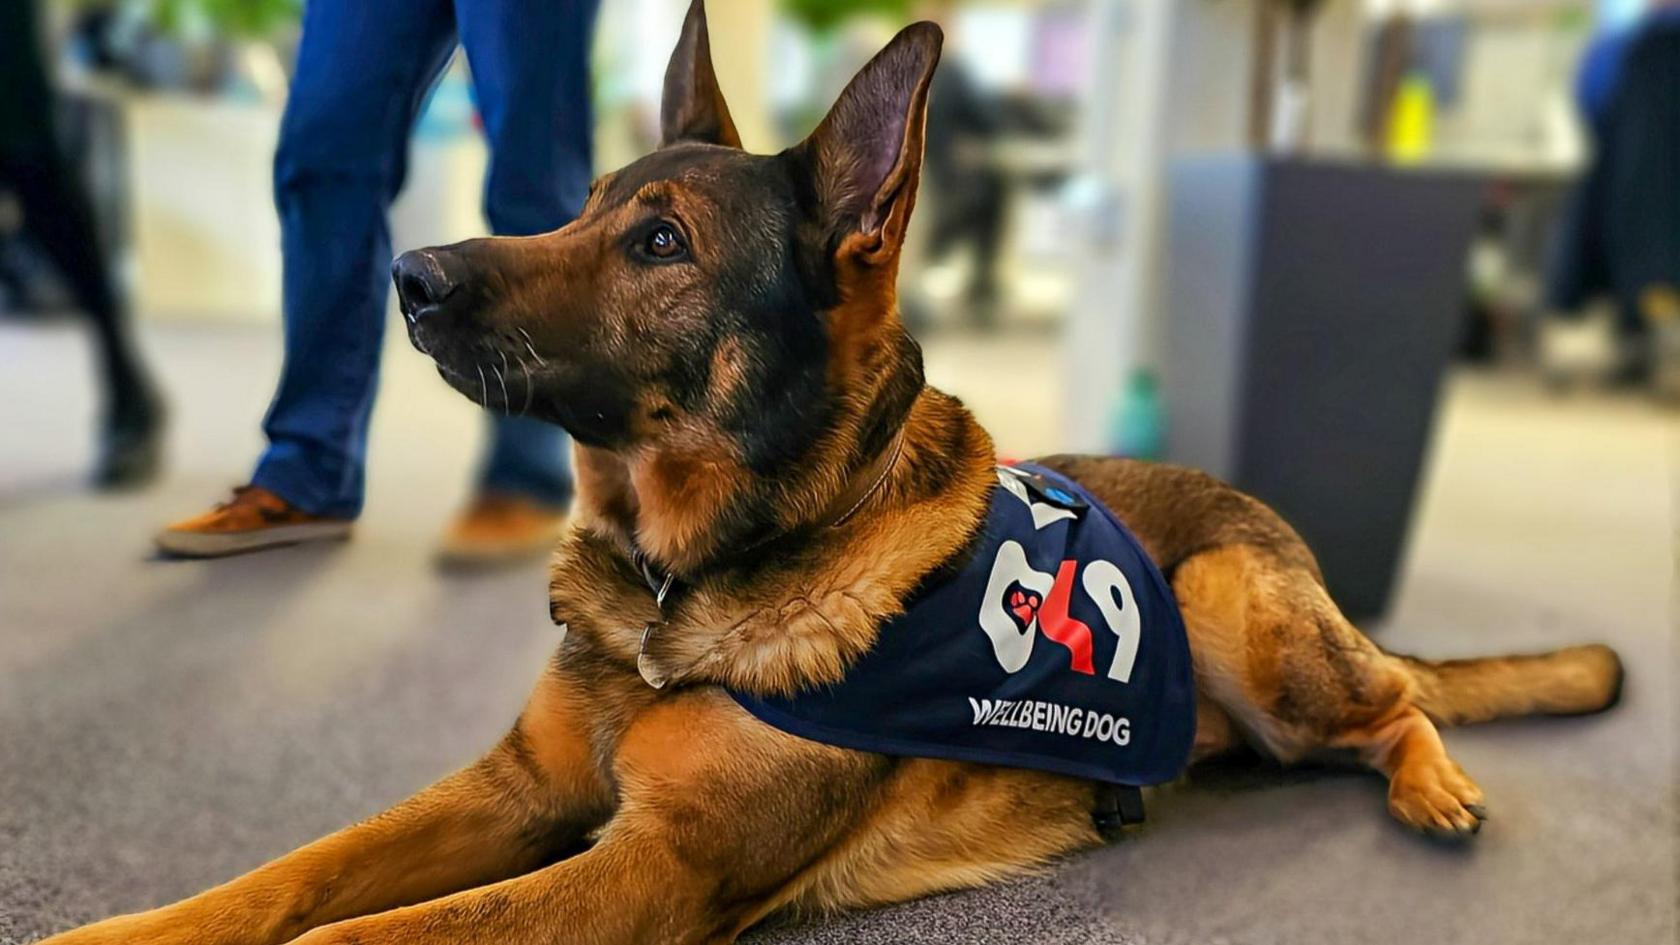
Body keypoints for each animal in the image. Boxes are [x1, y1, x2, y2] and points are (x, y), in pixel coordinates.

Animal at [42, 7, 1626, 941]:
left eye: (660, 243)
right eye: (583, 206)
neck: (677, 585)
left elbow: (360, 932)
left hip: (1239, 600)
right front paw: (125, 930)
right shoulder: (514, 791)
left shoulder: (649, 869)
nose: (408, 277)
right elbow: (292, 875)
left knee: (1401, 703)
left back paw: (1434, 787)